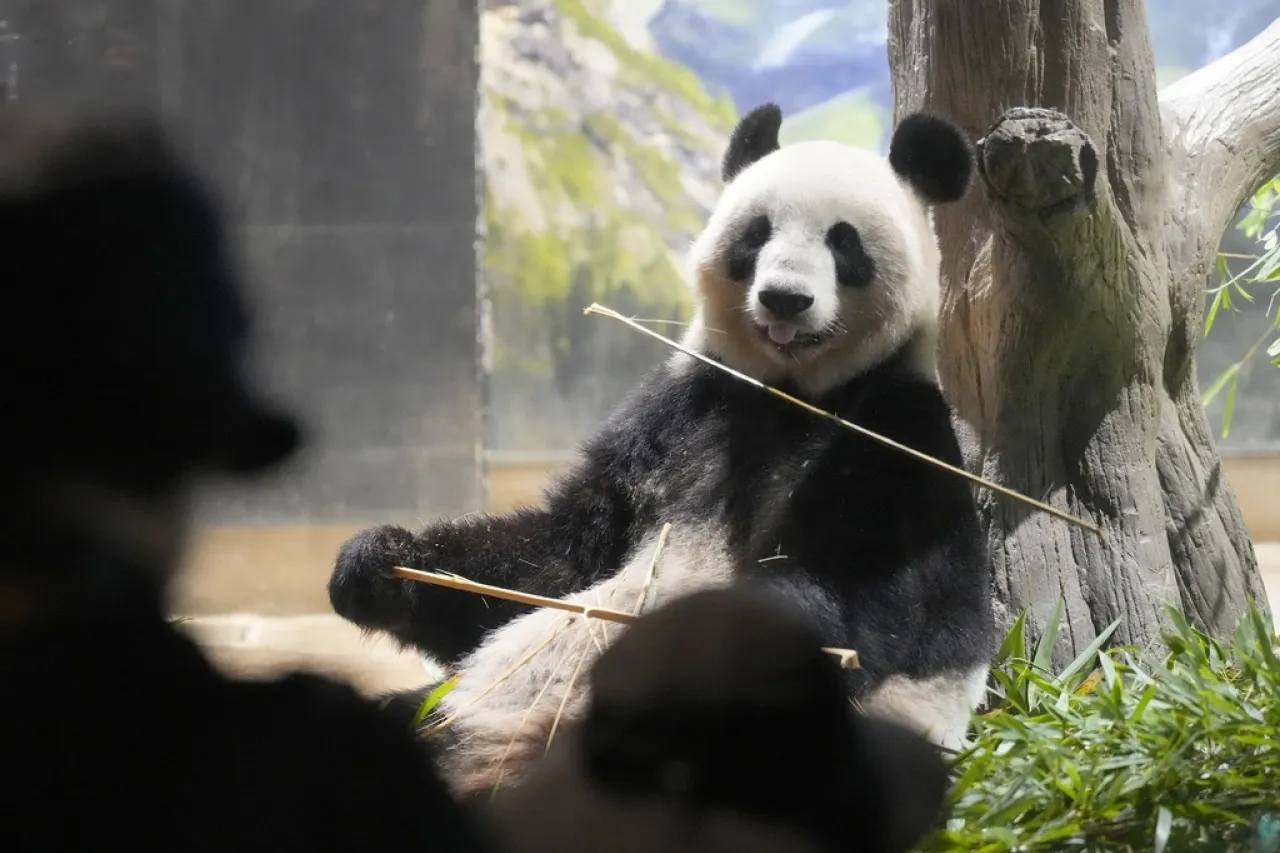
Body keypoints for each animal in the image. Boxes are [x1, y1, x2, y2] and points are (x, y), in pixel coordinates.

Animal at [327, 99, 998, 799]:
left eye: (844, 242)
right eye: (757, 233)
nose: (785, 298)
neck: (793, 393)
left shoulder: (897, 442)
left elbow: (866, 607)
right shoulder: (678, 414)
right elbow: (553, 560)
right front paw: (380, 562)